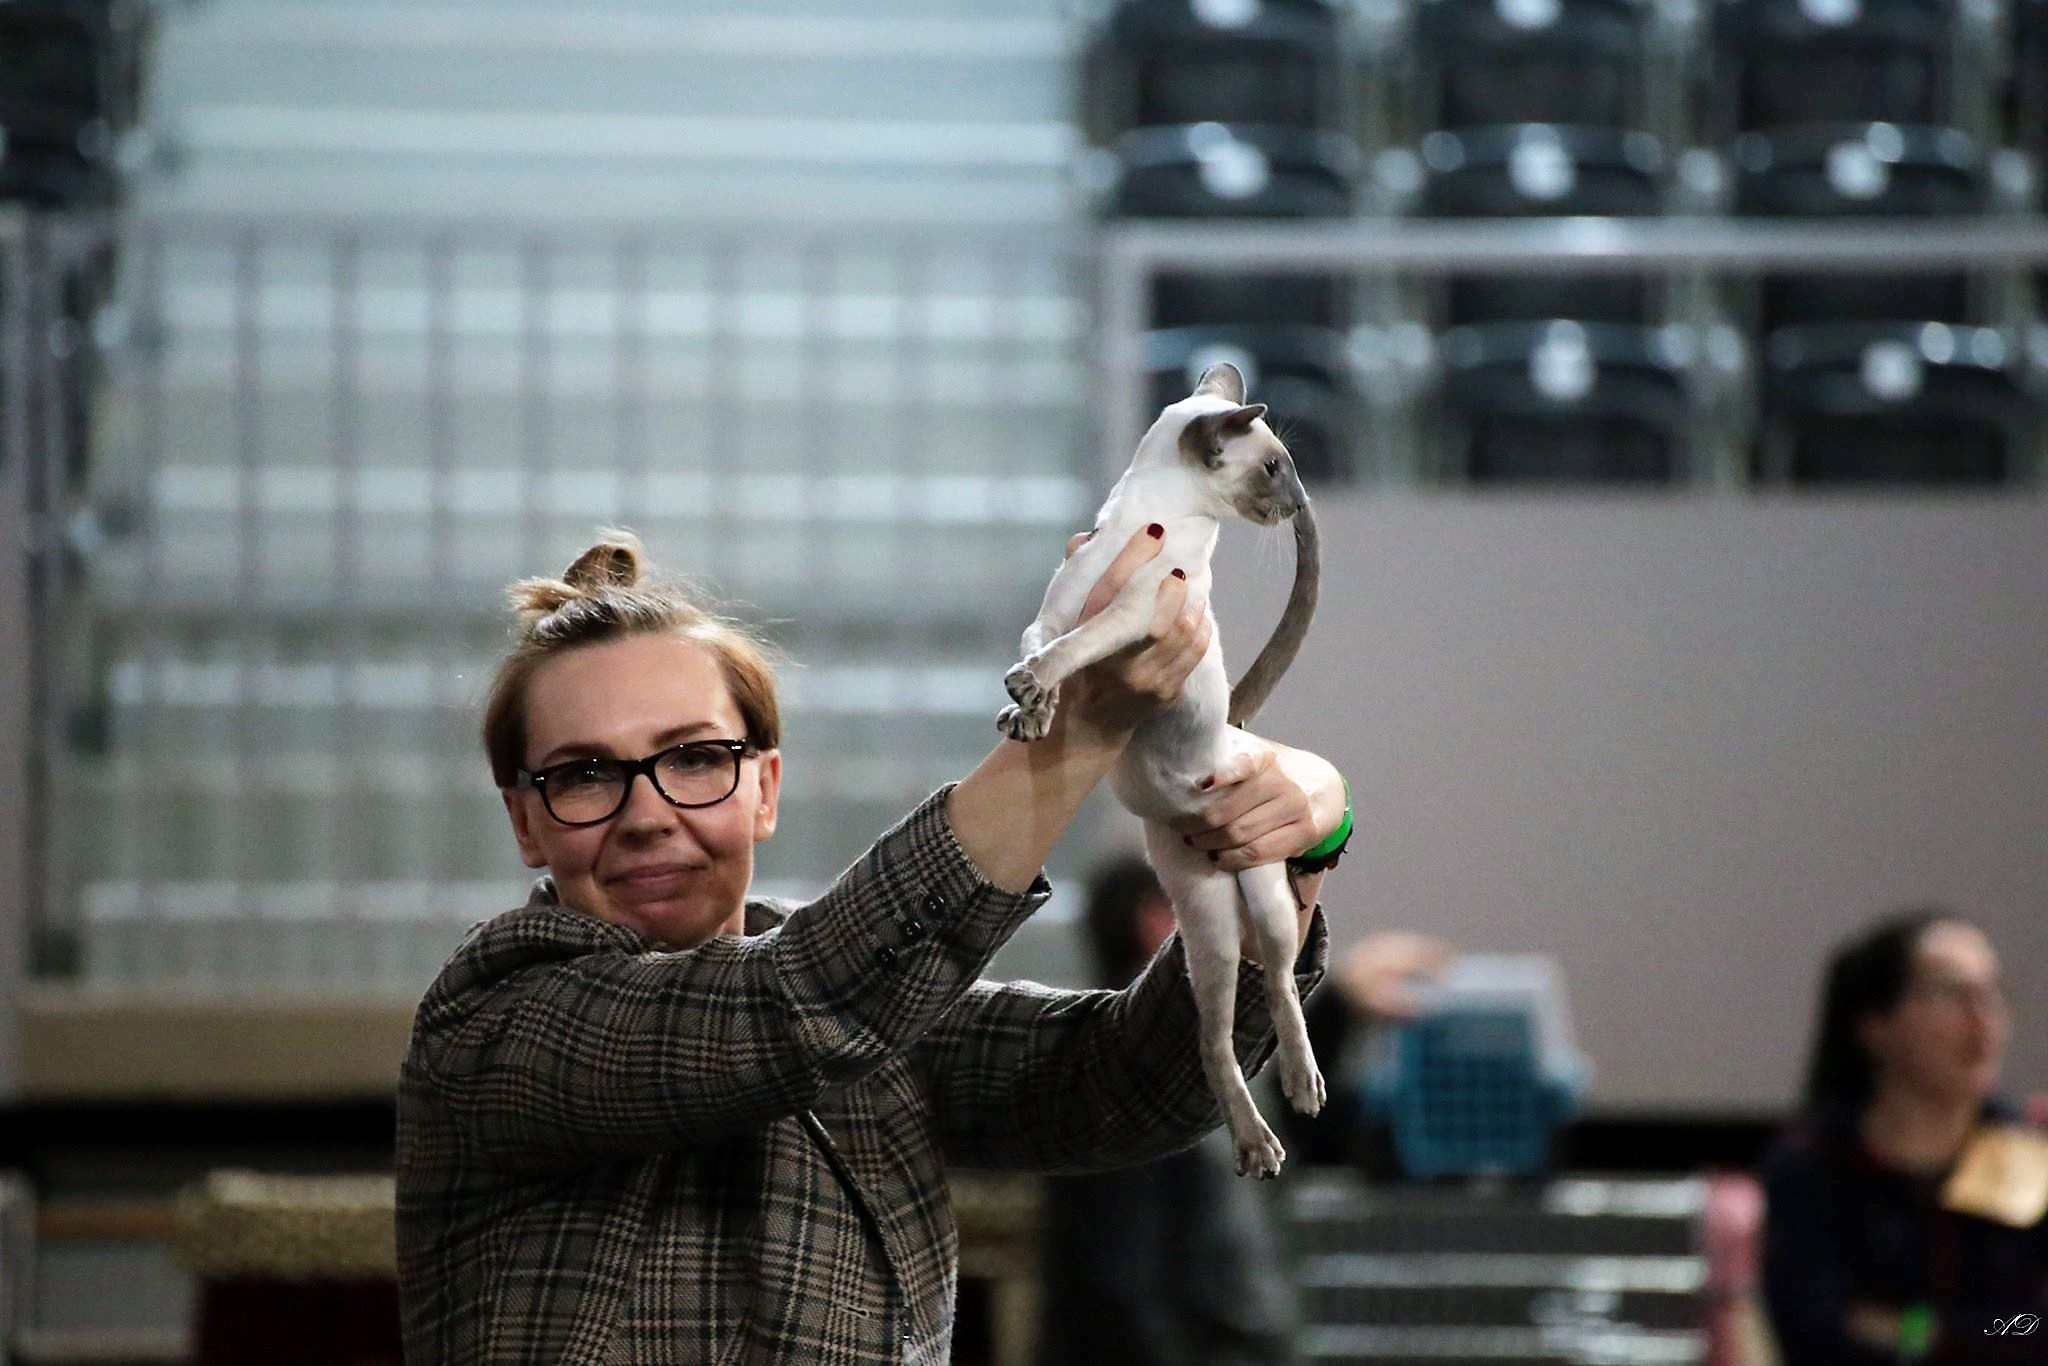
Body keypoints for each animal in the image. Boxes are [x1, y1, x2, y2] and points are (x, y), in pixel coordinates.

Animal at [996, 361, 1324, 1178]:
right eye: (1276, 467)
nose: (1301, 503)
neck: (1138, 518)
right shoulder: (1053, 613)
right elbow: (1045, 648)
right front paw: (1030, 715)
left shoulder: (1131, 616)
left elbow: (1068, 651)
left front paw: (1030, 695)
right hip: (1205, 922)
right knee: (1211, 1039)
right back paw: (1253, 1144)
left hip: (1263, 901)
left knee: (1280, 983)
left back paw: (1302, 1087)